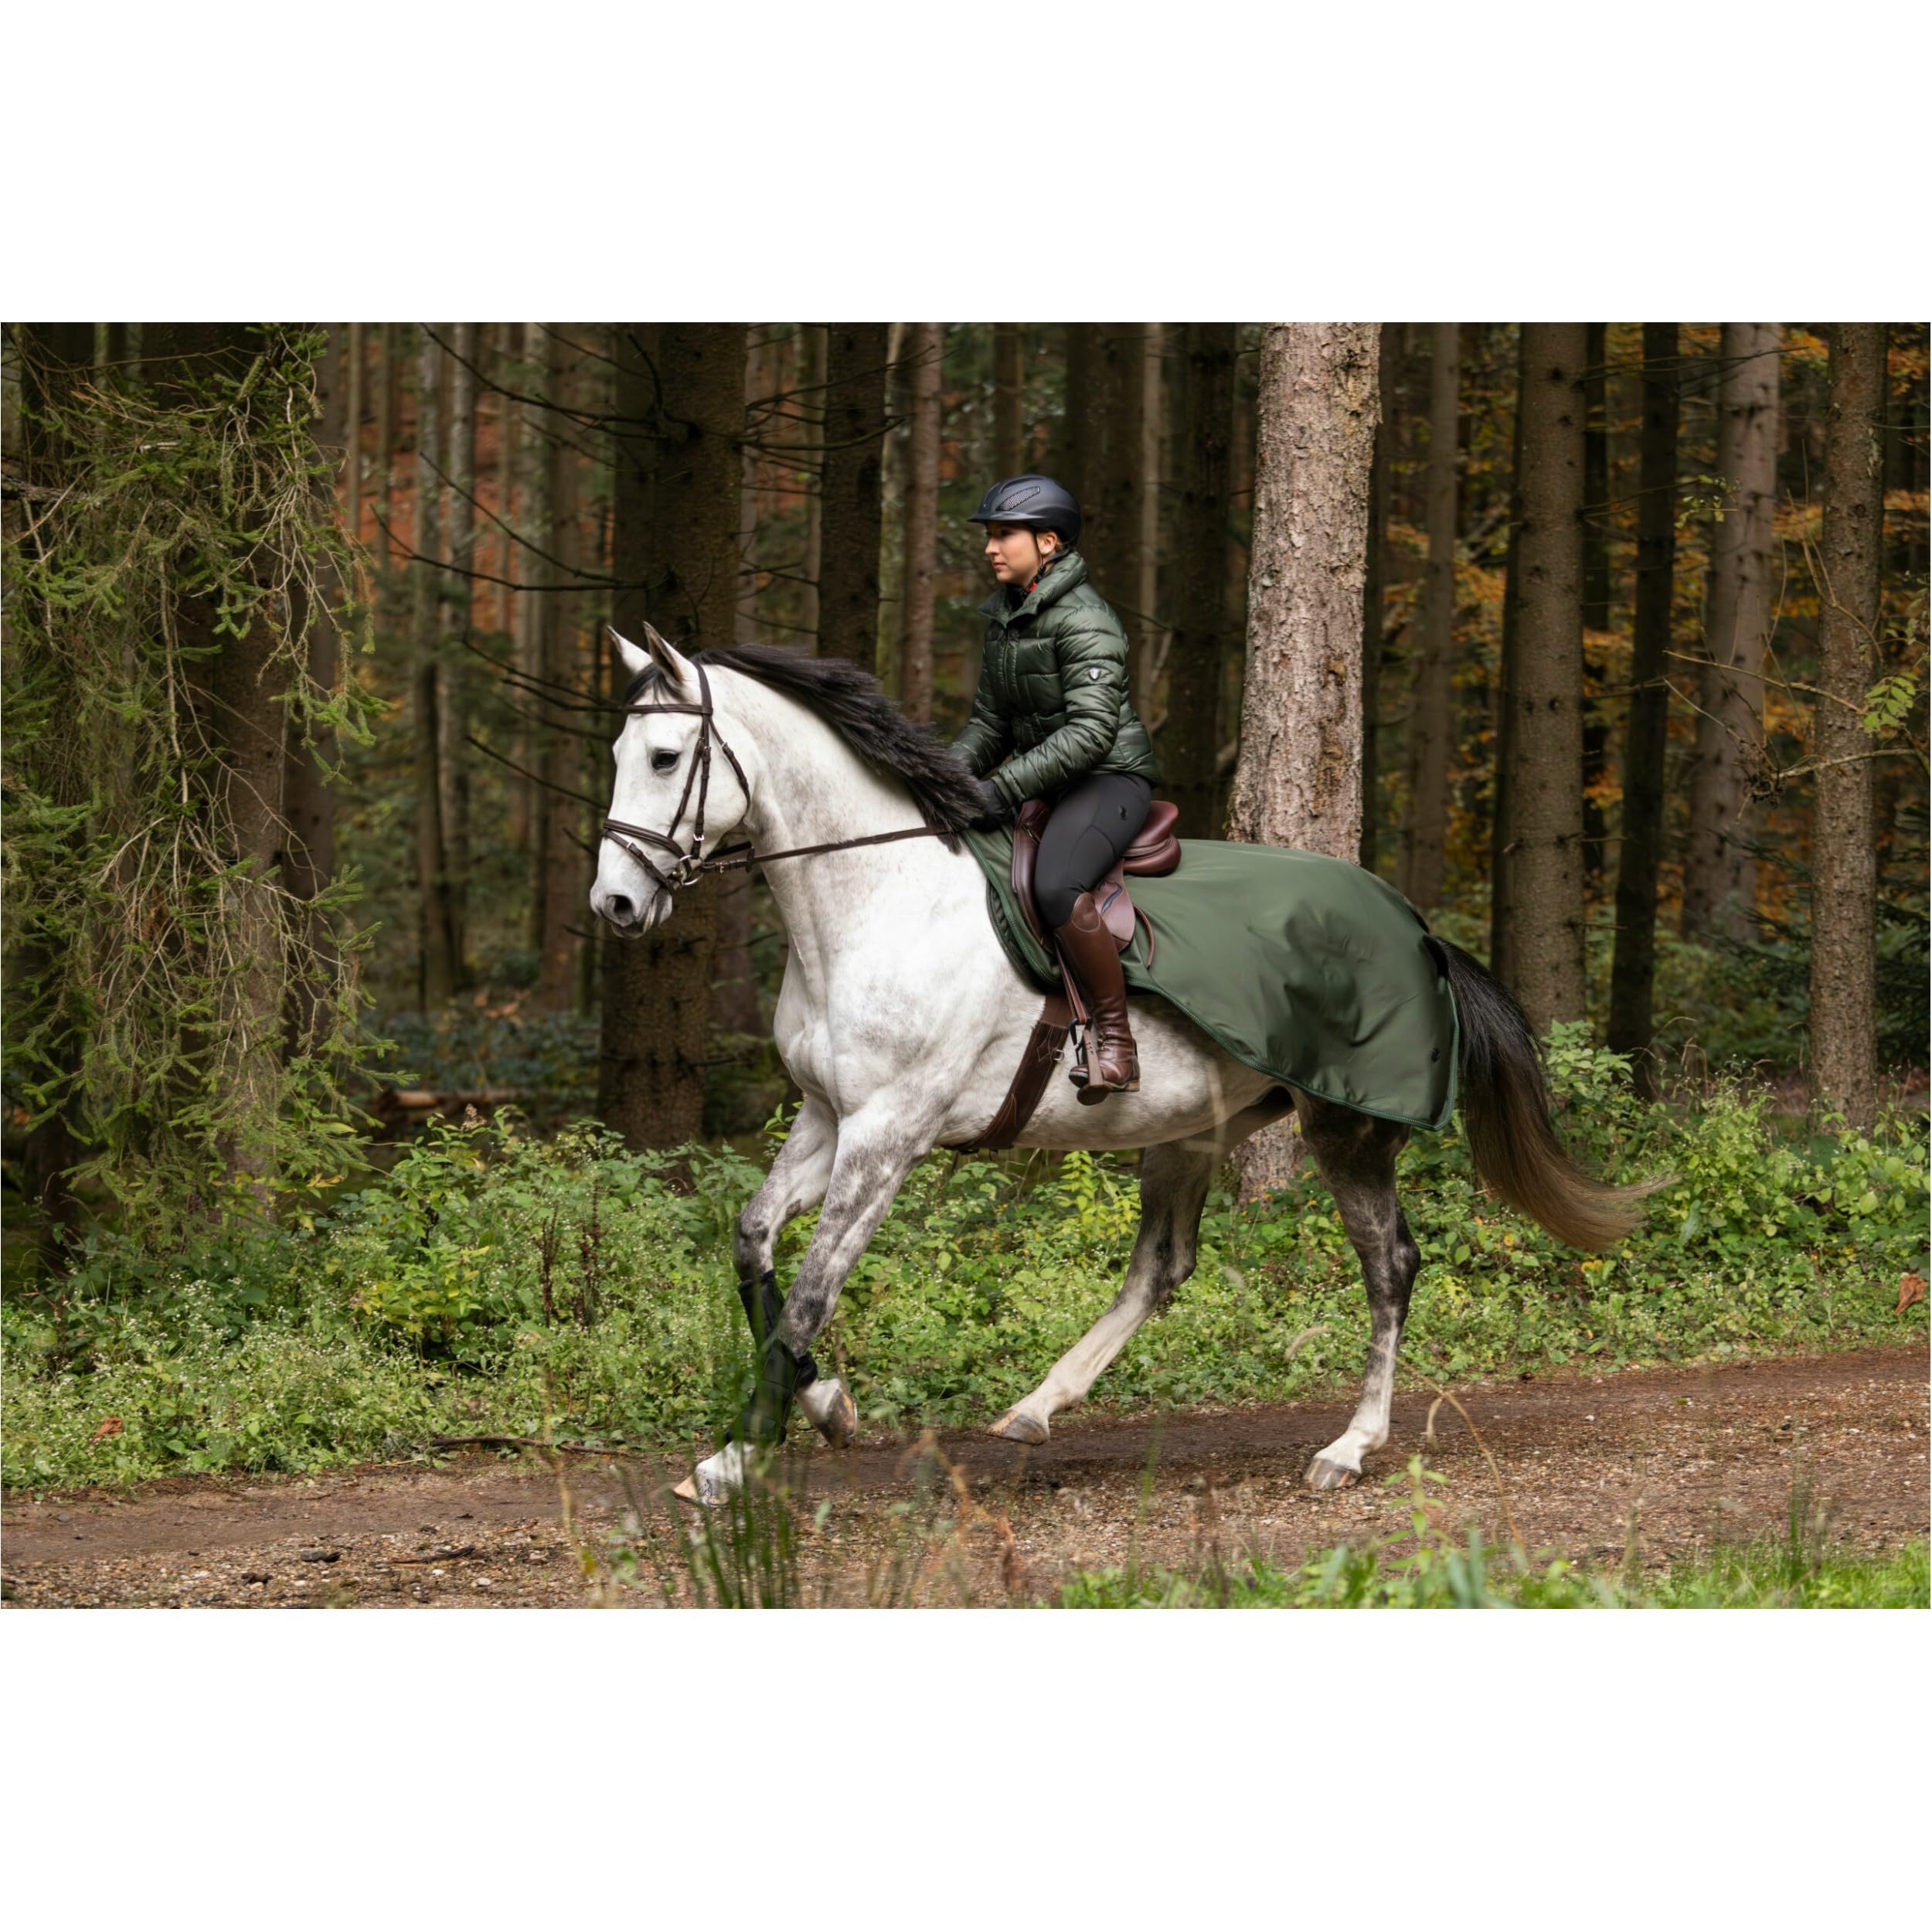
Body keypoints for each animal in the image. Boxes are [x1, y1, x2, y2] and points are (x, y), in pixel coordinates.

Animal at [590, 624, 1660, 1505]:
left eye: (665, 756)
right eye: (618, 756)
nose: (615, 906)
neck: (873, 895)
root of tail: (1418, 929)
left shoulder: (887, 1135)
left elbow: (812, 1291)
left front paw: (736, 1456)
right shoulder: (826, 1117)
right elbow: (751, 1244)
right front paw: (828, 1407)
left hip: (1343, 1124)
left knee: (1388, 1262)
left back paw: (1349, 1447)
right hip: (1189, 1128)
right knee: (1162, 1264)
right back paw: (1038, 1404)